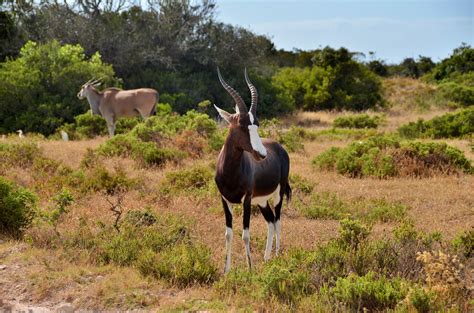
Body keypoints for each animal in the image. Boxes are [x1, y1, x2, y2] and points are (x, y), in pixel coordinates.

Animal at [213, 69, 290, 272]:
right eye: (241, 125)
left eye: (257, 124)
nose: (262, 154)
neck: (231, 173)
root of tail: (279, 147)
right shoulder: (225, 200)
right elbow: (228, 234)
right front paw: (226, 270)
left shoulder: (246, 200)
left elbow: (245, 234)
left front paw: (249, 269)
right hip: (262, 201)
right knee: (270, 221)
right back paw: (266, 258)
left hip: (278, 194)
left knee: (278, 221)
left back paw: (276, 256)